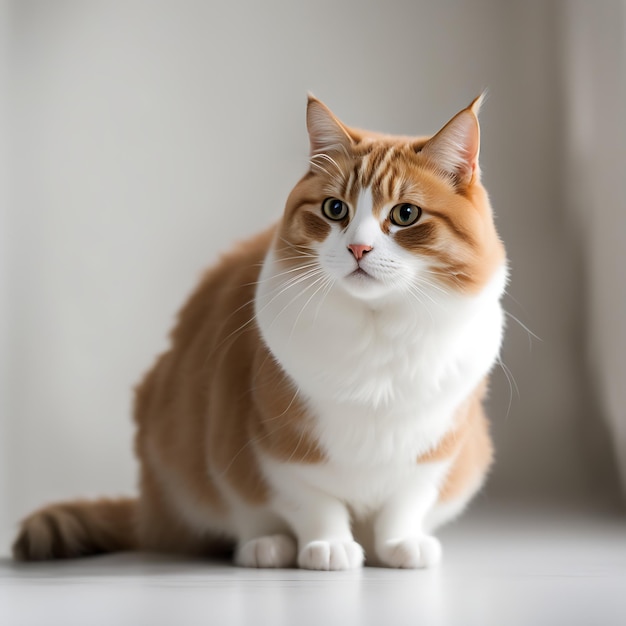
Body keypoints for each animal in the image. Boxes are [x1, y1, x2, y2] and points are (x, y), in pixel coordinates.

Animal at [11, 95, 508, 568]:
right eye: (335, 209)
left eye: (405, 214)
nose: (358, 248)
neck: (376, 331)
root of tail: (150, 510)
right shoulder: (278, 446)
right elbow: (314, 503)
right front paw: (328, 547)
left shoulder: (436, 448)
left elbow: (403, 506)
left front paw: (400, 545)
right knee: (240, 519)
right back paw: (267, 547)